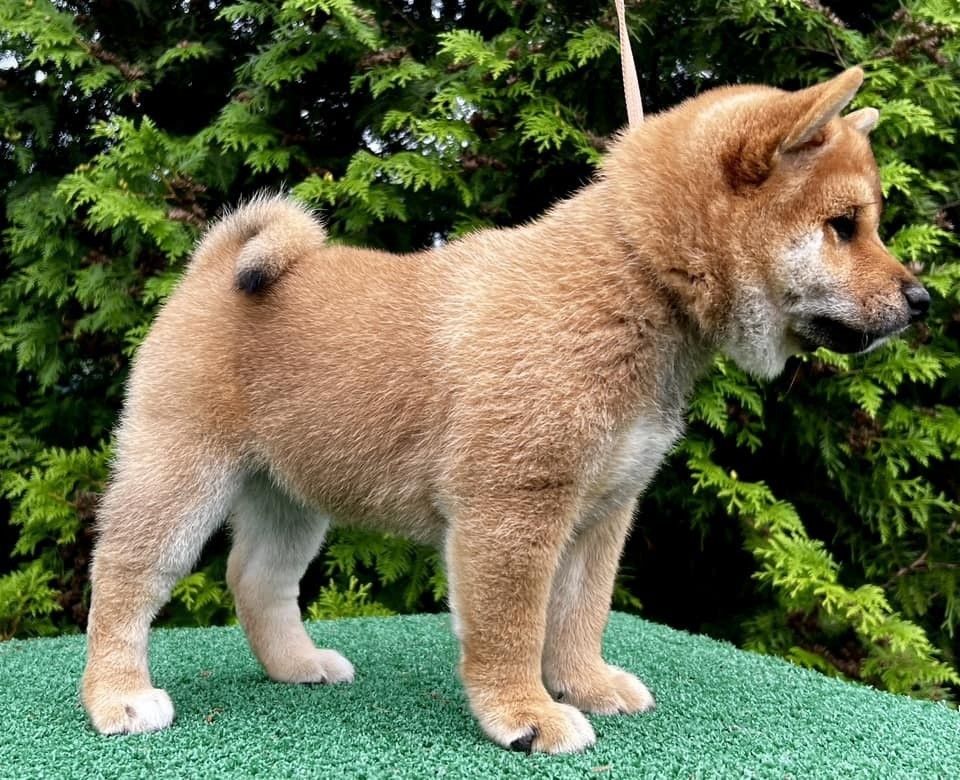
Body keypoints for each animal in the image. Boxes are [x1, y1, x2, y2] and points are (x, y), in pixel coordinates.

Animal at [81, 67, 929, 754]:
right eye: (845, 226)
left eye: (868, 224)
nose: (922, 299)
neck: (630, 281)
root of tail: (213, 266)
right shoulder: (513, 508)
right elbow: (514, 626)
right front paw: (528, 714)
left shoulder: (603, 510)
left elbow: (580, 614)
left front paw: (585, 683)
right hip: (179, 478)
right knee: (121, 578)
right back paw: (117, 696)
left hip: (290, 491)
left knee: (256, 578)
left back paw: (296, 665)